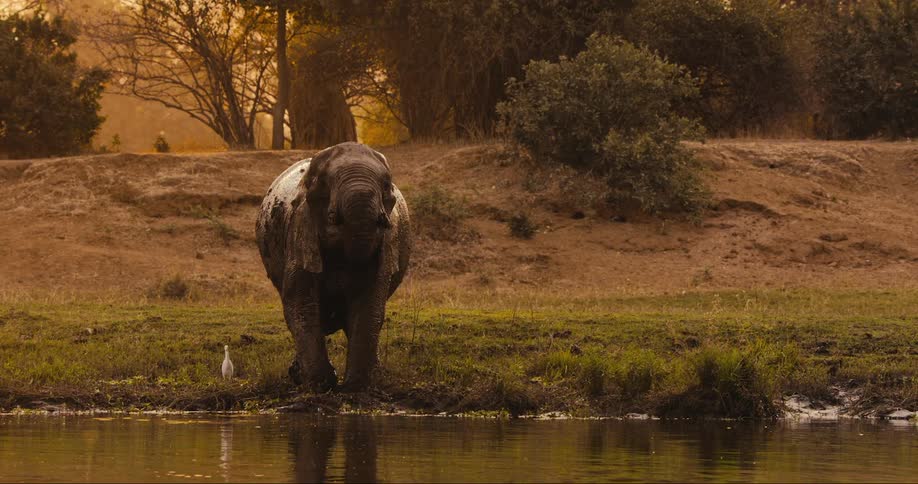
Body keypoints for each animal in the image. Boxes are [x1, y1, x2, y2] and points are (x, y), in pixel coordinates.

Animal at [256, 142, 411, 391]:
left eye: (387, 186)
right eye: (323, 184)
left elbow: (369, 303)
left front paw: (356, 385)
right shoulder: (300, 229)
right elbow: (300, 303)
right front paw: (322, 384)